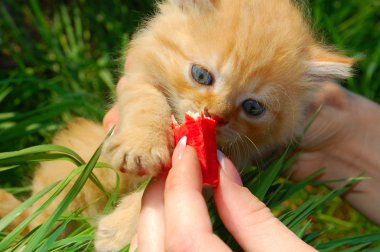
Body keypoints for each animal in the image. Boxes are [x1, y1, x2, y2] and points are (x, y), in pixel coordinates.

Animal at [0, 0, 354, 251]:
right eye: (201, 75)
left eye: (253, 107)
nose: (216, 115)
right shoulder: (138, 76)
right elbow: (147, 102)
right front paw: (141, 147)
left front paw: (121, 231)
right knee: (41, 218)